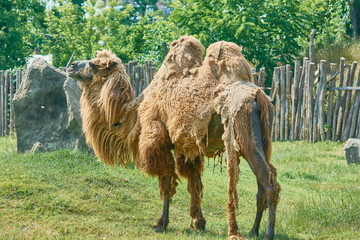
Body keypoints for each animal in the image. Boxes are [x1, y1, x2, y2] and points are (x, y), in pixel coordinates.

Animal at [67, 35, 282, 240]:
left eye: (93, 64)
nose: (71, 65)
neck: (134, 115)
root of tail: (259, 97)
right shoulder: (187, 148)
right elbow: (194, 182)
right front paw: (198, 223)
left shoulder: (159, 143)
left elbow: (167, 183)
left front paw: (161, 223)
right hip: (262, 140)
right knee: (263, 182)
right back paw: (253, 231)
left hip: (244, 135)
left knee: (269, 183)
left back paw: (268, 234)